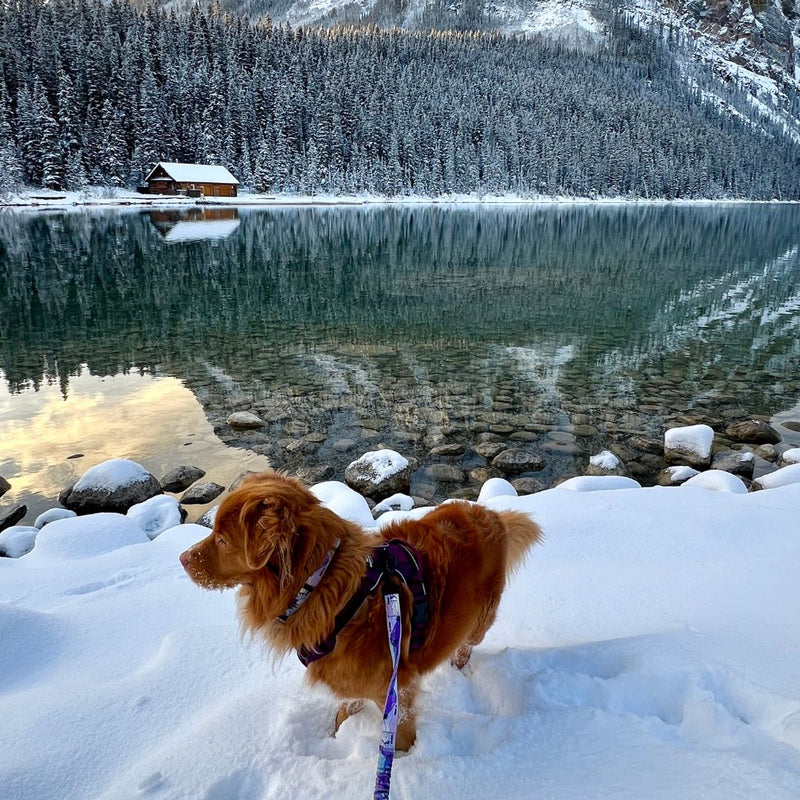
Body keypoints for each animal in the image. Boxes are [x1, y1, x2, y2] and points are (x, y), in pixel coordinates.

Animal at [181, 468, 544, 752]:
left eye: (223, 541)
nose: (182, 558)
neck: (324, 587)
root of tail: (491, 515)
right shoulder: (349, 680)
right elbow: (343, 711)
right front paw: (334, 738)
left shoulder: (396, 689)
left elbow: (399, 738)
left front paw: (406, 762)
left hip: (480, 620)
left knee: (466, 645)